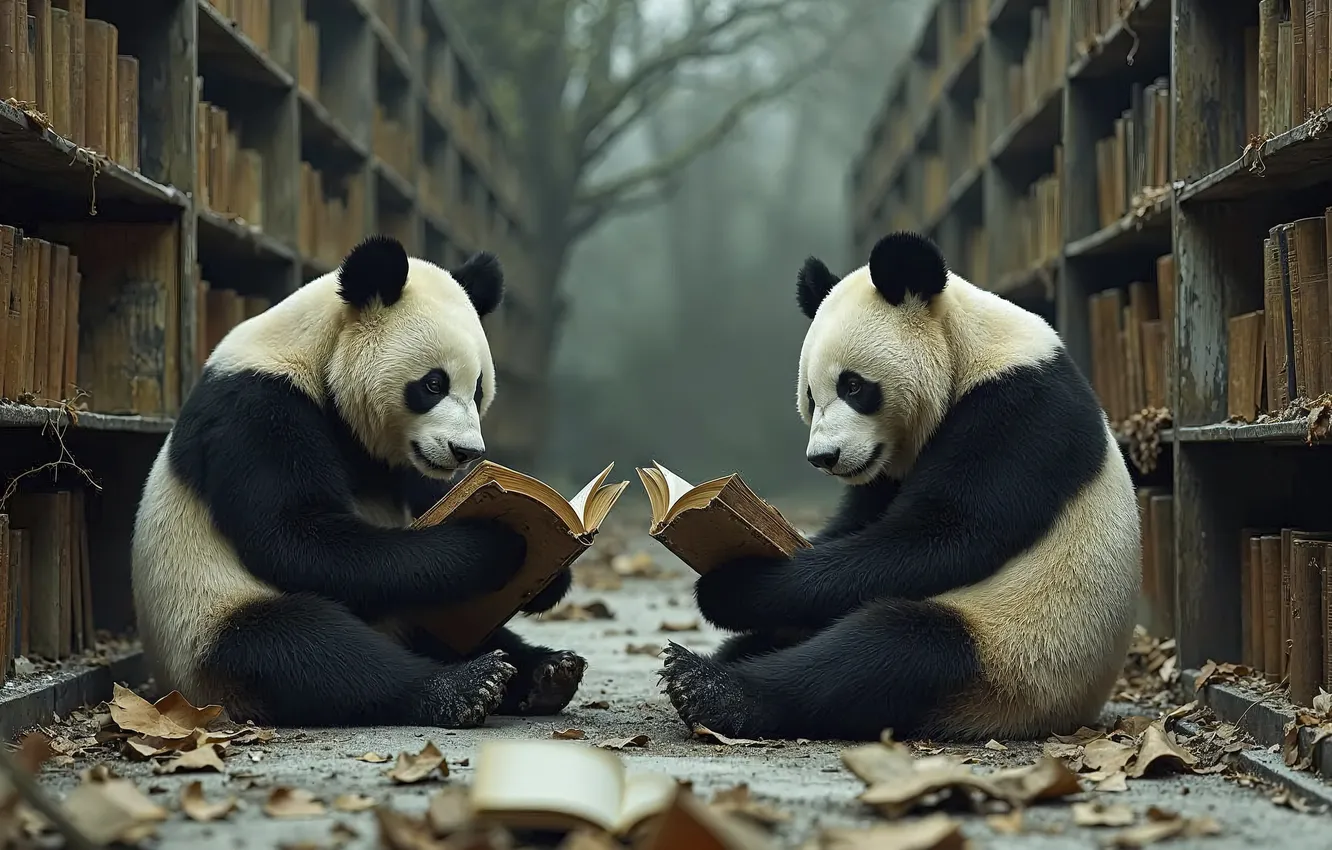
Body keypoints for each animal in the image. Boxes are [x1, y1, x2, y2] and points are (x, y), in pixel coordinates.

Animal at [131, 235, 587, 729]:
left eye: (479, 388)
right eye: (433, 384)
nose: (465, 452)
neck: (319, 354)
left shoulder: (398, 458)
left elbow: (426, 494)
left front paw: (551, 575)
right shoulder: (258, 408)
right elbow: (298, 537)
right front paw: (495, 544)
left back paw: (546, 673)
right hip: (205, 624)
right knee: (304, 648)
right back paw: (462, 686)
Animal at [659, 231, 1141, 742]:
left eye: (853, 386)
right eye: (810, 395)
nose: (824, 458)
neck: (968, 348)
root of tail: (1074, 713)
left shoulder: (1021, 411)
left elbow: (942, 535)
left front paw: (731, 585)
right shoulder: (885, 468)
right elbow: (861, 524)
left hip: (1019, 653)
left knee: (889, 650)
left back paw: (709, 686)